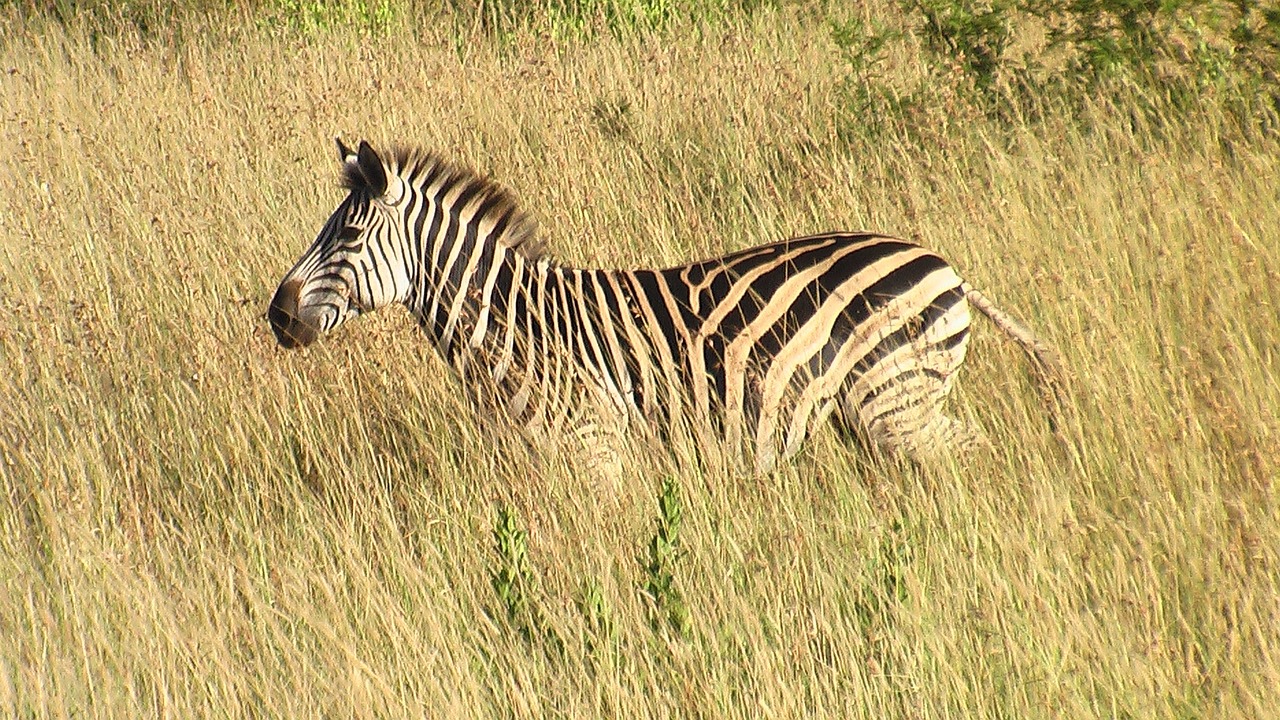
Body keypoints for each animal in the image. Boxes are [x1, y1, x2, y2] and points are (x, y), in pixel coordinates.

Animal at [270, 140, 1059, 474]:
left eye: (347, 234)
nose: (276, 315)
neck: (516, 328)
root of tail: (941, 262)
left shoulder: (594, 449)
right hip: (880, 411)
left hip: (895, 403)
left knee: (975, 454)